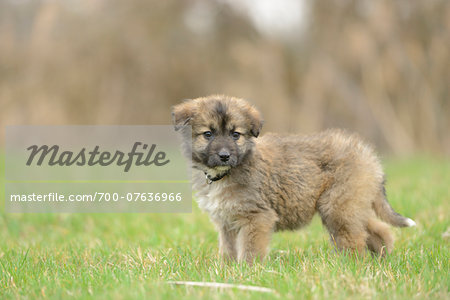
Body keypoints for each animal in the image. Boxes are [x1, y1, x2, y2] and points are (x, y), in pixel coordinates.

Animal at [171, 95, 414, 262]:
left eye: (235, 134)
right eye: (208, 134)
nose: (224, 156)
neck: (224, 174)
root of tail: (368, 154)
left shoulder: (257, 218)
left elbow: (249, 250)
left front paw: (247, 272)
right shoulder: (227, 221)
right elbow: (228, 250)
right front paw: (226, 271)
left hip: (337, 207)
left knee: (355, 239)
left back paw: (351, 266)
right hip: (350, 206)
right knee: (377, 229)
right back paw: (381, 258)